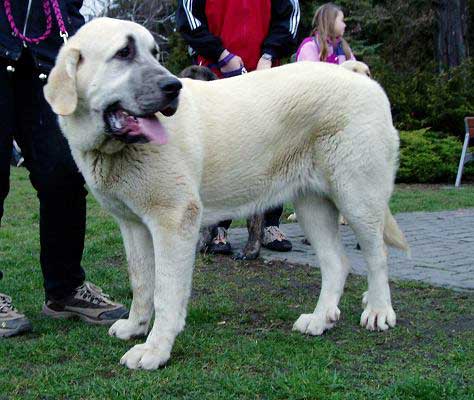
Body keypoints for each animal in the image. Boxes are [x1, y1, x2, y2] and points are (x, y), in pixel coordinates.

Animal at [43, 18, 408, 368]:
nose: (172, 87)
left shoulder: (173, 221)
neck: (114, 150)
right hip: (312, 207)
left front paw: (155, 350)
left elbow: (165, 290)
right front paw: (136, 326)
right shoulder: (132, 226)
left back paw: (378, 310)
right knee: (337, 263)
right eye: (123, 53)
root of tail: (358, 76)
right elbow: (141, 281)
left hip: (358, 195)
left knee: (377, 255)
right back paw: (320, 319)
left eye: (154, 53)